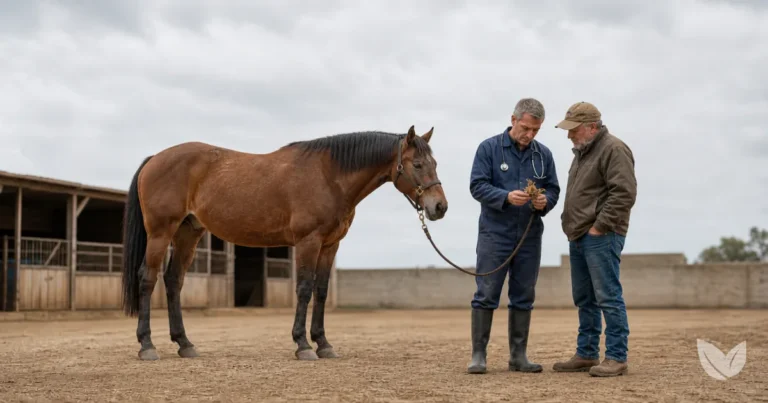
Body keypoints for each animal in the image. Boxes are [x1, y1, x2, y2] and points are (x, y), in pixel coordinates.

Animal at [120, 125, 448, 361]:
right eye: (418, 164)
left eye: (435, 163)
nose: (440, 207)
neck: (329, 175)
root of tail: (154, 159)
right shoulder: (308, 242)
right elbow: (303, 289)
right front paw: (303, 345)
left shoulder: (330, 245)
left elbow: (321, 291)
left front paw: (324, 344)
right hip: (161, 233)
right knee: (148, 279)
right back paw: (147, 346)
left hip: (188, 233)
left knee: (173, 281)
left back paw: (185, 344)